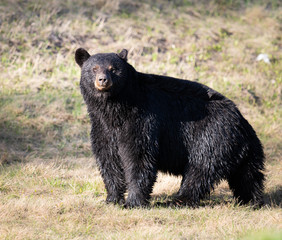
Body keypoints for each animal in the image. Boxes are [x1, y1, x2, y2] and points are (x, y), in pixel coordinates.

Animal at [75, 47, 264, 207]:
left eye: (113, 69)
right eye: (94, 69)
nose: (103, 80)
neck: (115, 110)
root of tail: (242, 122)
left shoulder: (142, 119)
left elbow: (139, 156)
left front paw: (133, 202)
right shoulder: (102, 127)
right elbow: (108, 159)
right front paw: (112, 199)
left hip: (211, 137)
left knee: (200, 170)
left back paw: (178, 200)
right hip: (243, 151)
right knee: (248, 177)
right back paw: (251, 201)